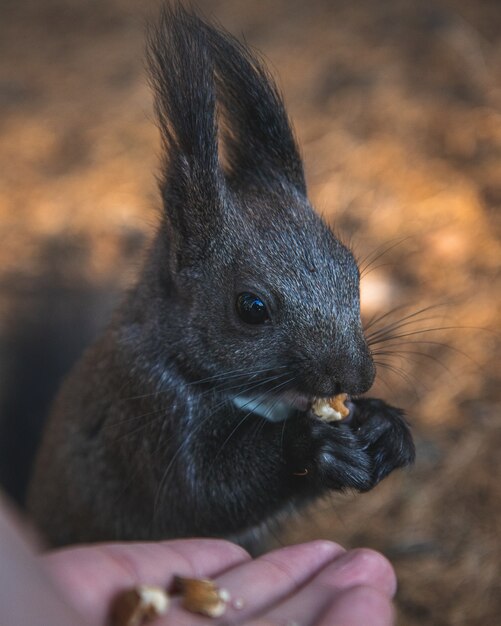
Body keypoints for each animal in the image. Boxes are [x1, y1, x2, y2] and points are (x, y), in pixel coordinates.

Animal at [26, 6, 414, 552]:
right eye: (251, 308)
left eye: (352, 272)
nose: (356, 378)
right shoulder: (147, 418)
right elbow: (203, 494)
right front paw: (310, 445)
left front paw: (384, 426)